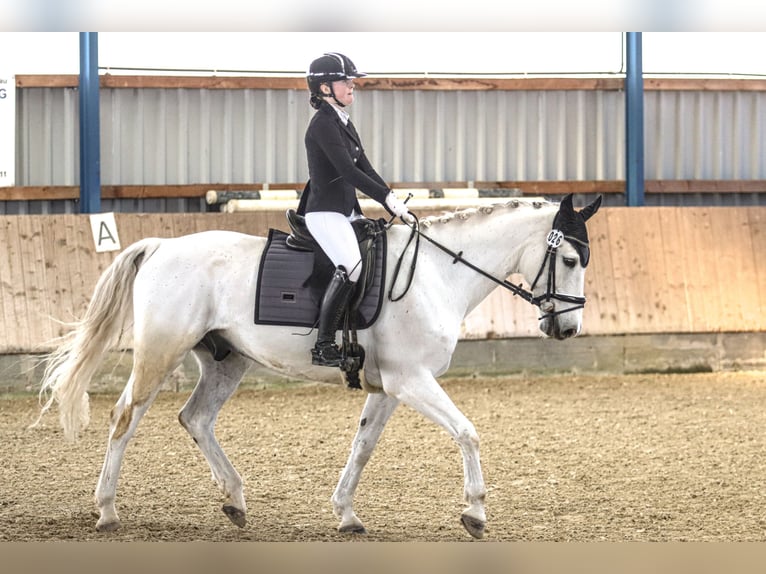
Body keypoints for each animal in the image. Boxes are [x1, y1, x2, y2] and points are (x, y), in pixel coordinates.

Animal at [37, 193, 602, 539]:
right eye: (570, 260)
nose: (568, 329)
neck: (438, 273)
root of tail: (161, 246)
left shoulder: (388, 386)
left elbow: (363, 447)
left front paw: (346, 514)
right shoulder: (411, 380)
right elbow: (468, 432)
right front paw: (475, 512)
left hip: (226, 360)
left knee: (194, 418)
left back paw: (235, 501)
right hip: (160, 351)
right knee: (124, 419)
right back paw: (107, 510)